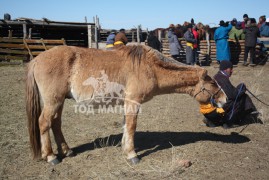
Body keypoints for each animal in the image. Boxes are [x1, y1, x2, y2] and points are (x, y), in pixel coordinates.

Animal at [25, 44, 226, 165]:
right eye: (213, 83)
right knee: (44, 122)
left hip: (58, 103)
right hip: (53, 102)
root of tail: (36, 60)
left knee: (56, 124)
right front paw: (132, 155)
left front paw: (125, 148)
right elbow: (131, 126)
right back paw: (51, 156)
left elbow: (125, 126)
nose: (225, 99)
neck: (149, 67)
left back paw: (67, 151)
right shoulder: (133, 101)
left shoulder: (127, 103)